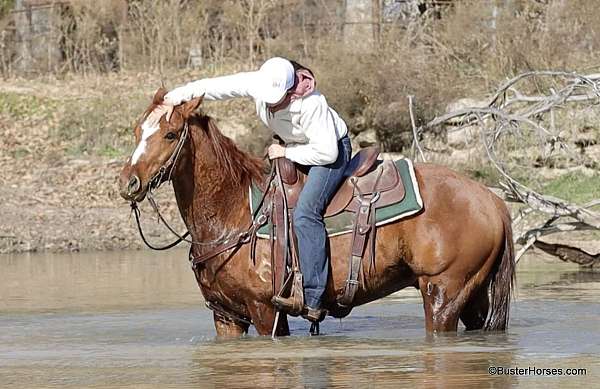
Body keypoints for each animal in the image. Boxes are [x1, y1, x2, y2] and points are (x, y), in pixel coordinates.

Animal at [118, 90, 516, 336]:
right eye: (138, 130)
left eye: (170, 134)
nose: (129, 182)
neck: (234, 211)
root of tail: (492, 200)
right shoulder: (225, 316)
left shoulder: (266, 312)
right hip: (472, 296)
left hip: (443, 294)